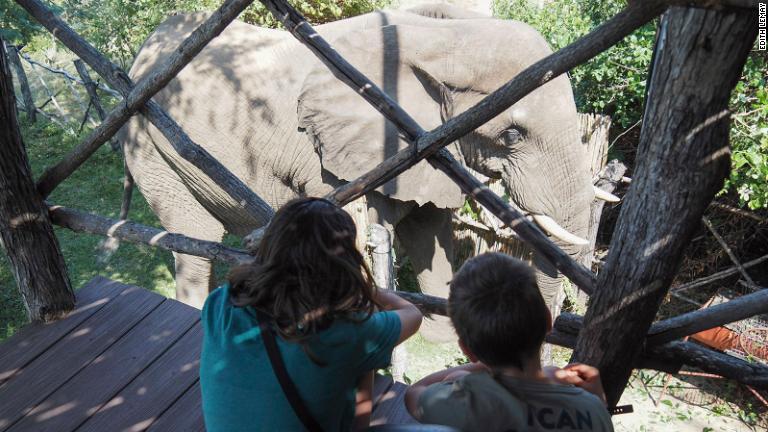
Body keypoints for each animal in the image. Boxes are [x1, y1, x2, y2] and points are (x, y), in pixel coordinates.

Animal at [121, 4, 600, 340]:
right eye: (514, 134)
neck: (442, 37)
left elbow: (429, 229)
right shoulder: (329, 158)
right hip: (148, 146)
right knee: (193, 238)